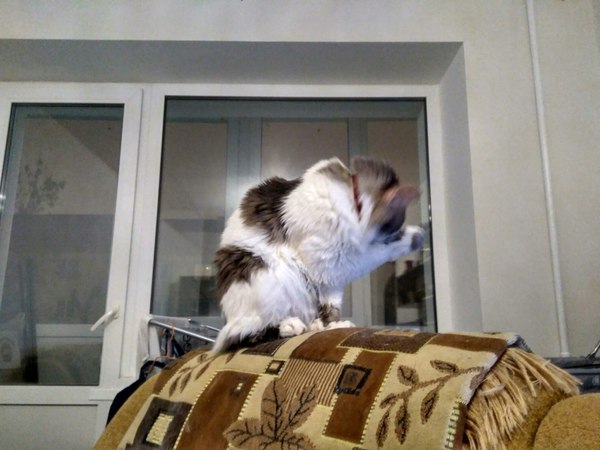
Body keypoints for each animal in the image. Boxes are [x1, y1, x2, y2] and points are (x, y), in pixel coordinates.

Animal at [212, 156, 425, 352]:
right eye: (395, 225)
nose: (396, 231)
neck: (352, 197)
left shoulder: (330, 278)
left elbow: (331, 306)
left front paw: (333, 325)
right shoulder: (331, 258)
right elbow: (378, 252)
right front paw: (414, 236)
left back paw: (314, 325)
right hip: (270, 282)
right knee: (246, 334)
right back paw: (290, 326)